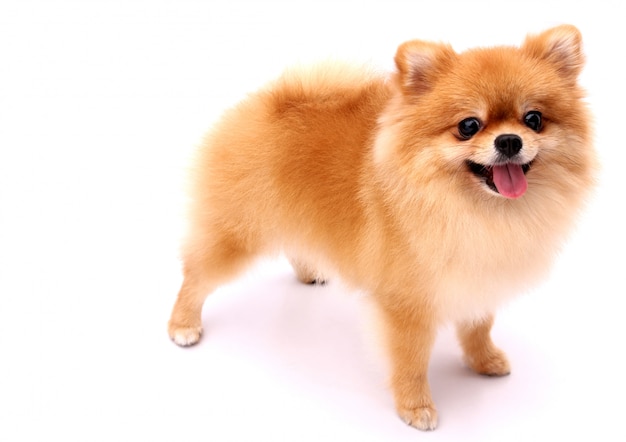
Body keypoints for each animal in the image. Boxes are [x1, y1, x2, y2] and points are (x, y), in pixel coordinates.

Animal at [167, 25, 596, 430]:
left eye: (534, 120)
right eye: (468, 126)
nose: (509, 140)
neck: (475, 209)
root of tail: (271, 99)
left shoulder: (477, 273)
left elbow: (478, 326)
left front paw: (484, 360)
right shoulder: (406, 303)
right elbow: (410, 362)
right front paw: (415, 407)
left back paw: (309, 272)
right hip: (238, 233)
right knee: (196, 275)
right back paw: (183, 325)